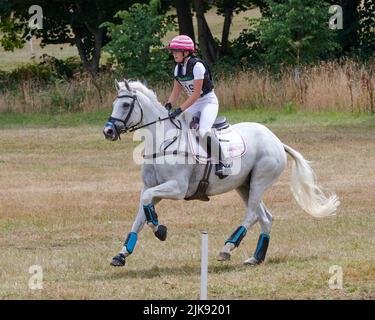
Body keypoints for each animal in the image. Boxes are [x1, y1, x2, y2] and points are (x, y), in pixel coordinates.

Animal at [103, 79, 340, 266]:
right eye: (115, 103)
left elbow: (147, 205)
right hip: (245, 185)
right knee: (265, 218)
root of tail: (276, 140)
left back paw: (227, 248)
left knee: (253, 215)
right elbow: (141, 215)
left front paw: (160, 230)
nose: (108, 131)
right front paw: (121, 255)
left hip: (260, 180)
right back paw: (256, 258)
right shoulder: (152, 188)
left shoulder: (177, 188)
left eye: (125, 104)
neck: (162, 142)